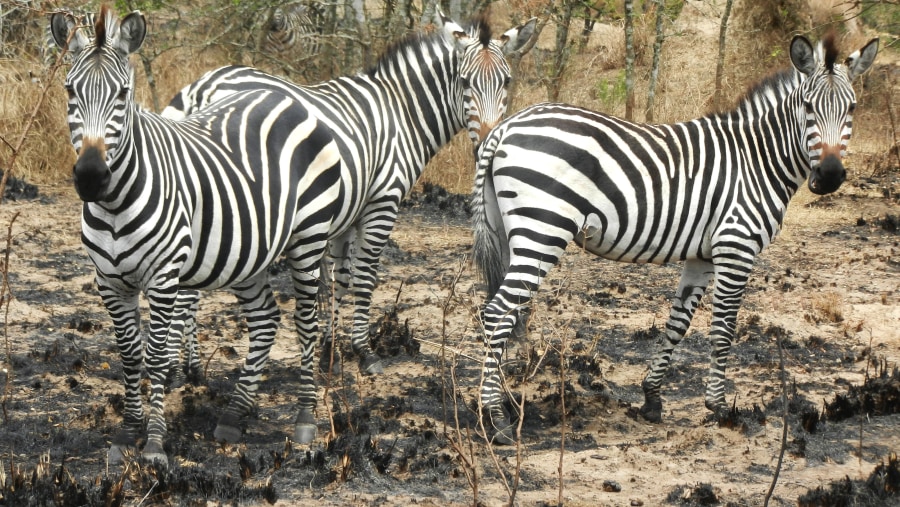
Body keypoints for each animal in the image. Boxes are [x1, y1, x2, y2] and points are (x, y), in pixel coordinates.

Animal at [50, 6, 344, 468]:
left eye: (123, 94)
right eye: (69, 90)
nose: (92, 177)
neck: (114, 204)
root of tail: (285, 94)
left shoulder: (163, 277)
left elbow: (155, 357)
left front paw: (154, 445)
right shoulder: (109, 282)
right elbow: (130, 356)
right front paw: (126, 434)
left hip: (309, 236)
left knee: (306, 321)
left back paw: (305, 421)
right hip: (249, 250)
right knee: (266, 319)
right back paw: (234, 416)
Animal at [162, 10, 536, 384]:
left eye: (506, 81)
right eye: (463, 82)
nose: (486, 144)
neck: (401, 112)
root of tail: (202, 87)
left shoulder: (346, 212)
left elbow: (340, 279)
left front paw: (330, 352)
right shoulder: (382, 202)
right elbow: (364, 275)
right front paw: (364, 352)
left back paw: (190, 369)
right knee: (187, 292)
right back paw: (180, 373)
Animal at [472, 33, 880, 444]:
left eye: (852, 108)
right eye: (808, 107)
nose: (829, 176)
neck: (756, 160)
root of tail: (505, 127)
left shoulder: (703, 255)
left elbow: (677, 322)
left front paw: (652, 398)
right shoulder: (737, 246)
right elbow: (722, 331)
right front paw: (718, 408)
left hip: (510, 230)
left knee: (501, 310)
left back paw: (504, 404)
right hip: (543, 229)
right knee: (497, 312)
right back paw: (496, 418)